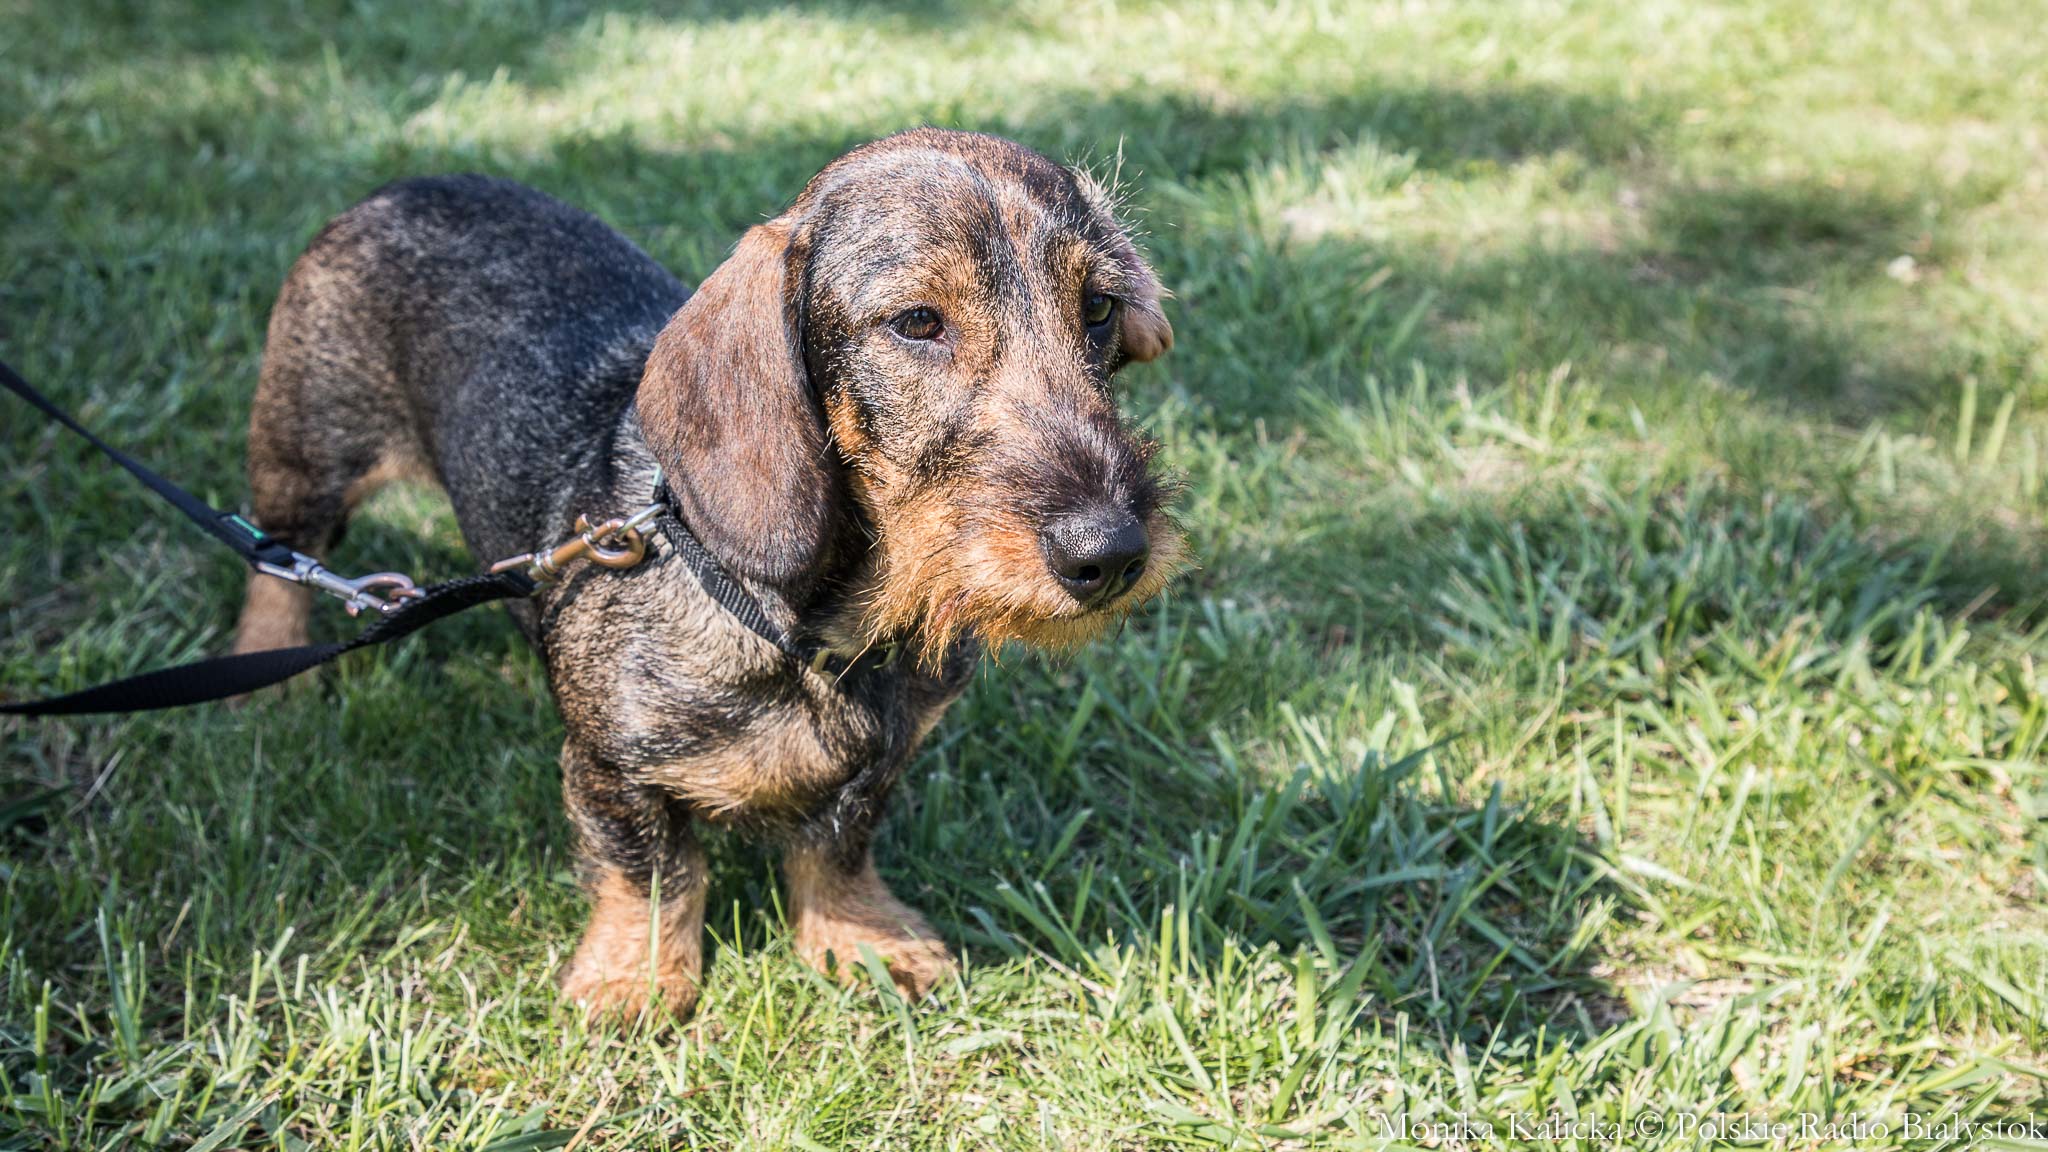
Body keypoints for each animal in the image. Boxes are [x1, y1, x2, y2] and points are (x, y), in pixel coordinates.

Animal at [231, 128, 1185, 1017]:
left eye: (1098, 307)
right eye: (918, 322)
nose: (1110, 552)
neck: (810, 631)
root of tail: (402, 186)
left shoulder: (881, 764)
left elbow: (839, 848)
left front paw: (864, 941)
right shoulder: (613, 771)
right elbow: (653, 873)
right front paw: (636, 979)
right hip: (306, 456)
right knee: (276, 561)